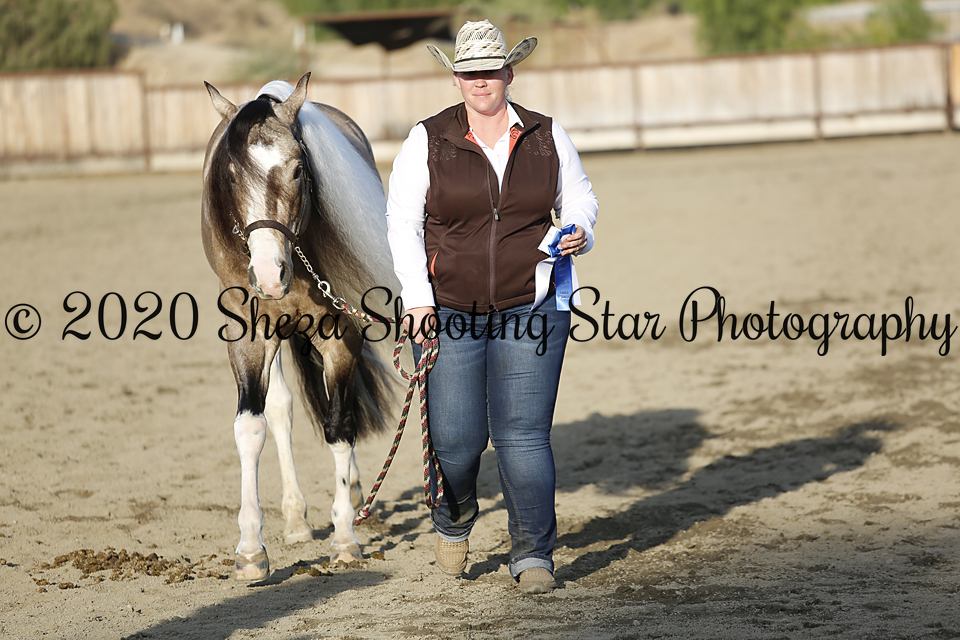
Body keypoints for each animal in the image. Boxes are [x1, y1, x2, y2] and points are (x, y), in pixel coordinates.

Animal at [201, 73, 398, 581]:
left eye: (296, 171)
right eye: (232, 176)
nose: (269, 275)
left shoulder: (341, 335)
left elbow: (340, 427)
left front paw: (345, 538)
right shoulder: (249, 336)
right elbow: (252, 428)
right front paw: (251, 549)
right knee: (281, 410)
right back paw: (295, 519)